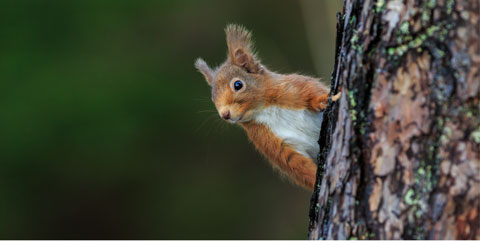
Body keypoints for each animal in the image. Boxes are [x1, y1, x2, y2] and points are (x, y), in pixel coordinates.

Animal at [193, 24, 340, 190]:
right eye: (212, 97)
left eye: (238, 85)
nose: (225, 115)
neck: (264, 110)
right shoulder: (268, 140)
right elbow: (294, 162)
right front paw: (316, 182)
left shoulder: (295, 89)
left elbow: (312, 93)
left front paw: (324, 100)